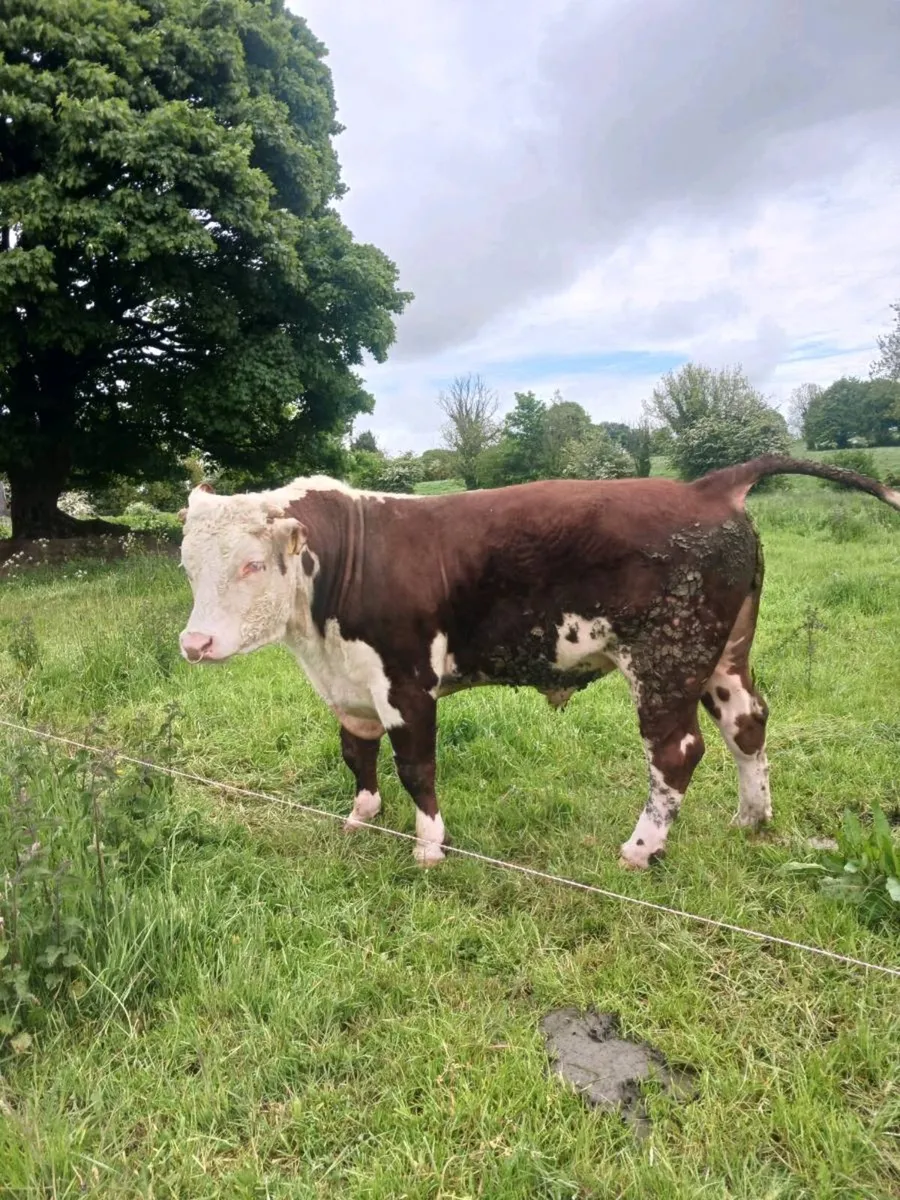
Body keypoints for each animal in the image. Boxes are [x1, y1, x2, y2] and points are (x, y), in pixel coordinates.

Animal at [178, 456, 900, 870]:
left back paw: (641, 849)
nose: (194, 645)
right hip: (724, 654)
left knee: (677, 751)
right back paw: (752, 817)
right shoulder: (349, 684)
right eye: (187, 565)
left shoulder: (408, 682)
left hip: (668, 657)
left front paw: (429, 847)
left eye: (251, 564)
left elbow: (416, 766)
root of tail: (706, 488)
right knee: (747, 723)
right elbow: (357, 753)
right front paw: (361, 817)